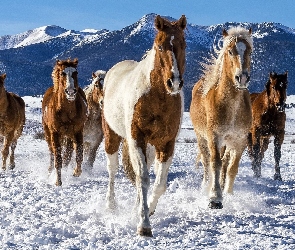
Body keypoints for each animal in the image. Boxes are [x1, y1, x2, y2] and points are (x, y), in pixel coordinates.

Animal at [192, 26, 254, 209]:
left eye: (250, 51)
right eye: (230, 51)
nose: (242, 78)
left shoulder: (240, 140)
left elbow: (232, 167)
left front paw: (228, 193)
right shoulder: (214, 137)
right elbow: (215, 163)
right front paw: (215, 197)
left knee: (225, 162)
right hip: (201, 138)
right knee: (206, 162)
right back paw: (205, 186)